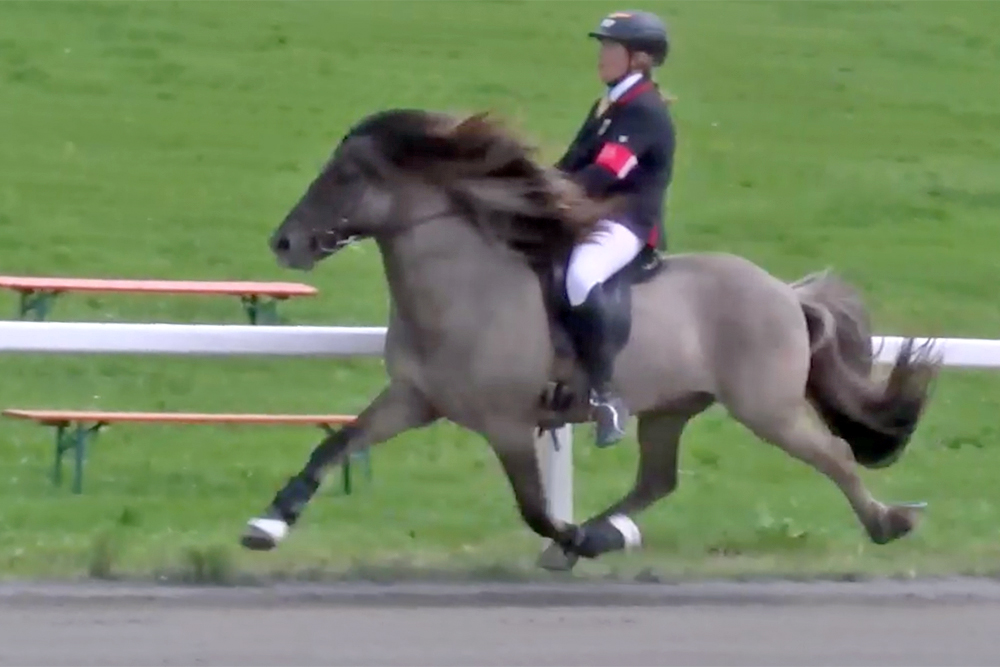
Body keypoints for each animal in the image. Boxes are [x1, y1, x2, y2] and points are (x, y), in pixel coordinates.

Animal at [238, 107, 940, 572]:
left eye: (349, 174)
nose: (284, 243)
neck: (461, 291)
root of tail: (785, 293)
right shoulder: (414, 399)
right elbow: (335, 445)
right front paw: (267, 524)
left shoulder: (506, 423)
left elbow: (532, 506)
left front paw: (569, 538)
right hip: (669, 408)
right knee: (659, 480)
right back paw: (609, 533)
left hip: (767, 409)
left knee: (835, 456)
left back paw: (890, 522)